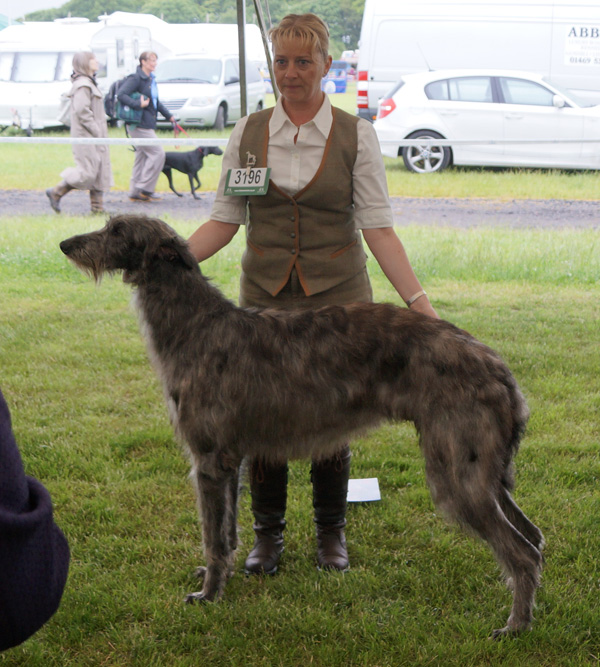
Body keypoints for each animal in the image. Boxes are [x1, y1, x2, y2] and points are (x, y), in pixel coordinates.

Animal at [59, 214, 544, 636]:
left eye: (117, 230)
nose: (66, 244)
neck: (196, 324)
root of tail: (497, 366)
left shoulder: (209, 460)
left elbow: (213, 537)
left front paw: (209, 594)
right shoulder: (232, 459)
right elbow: (228, 532)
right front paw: (222, 578)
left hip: (457, 469)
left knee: (521, 552)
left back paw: (515, 627)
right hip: (485, 471)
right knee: (535, 540)